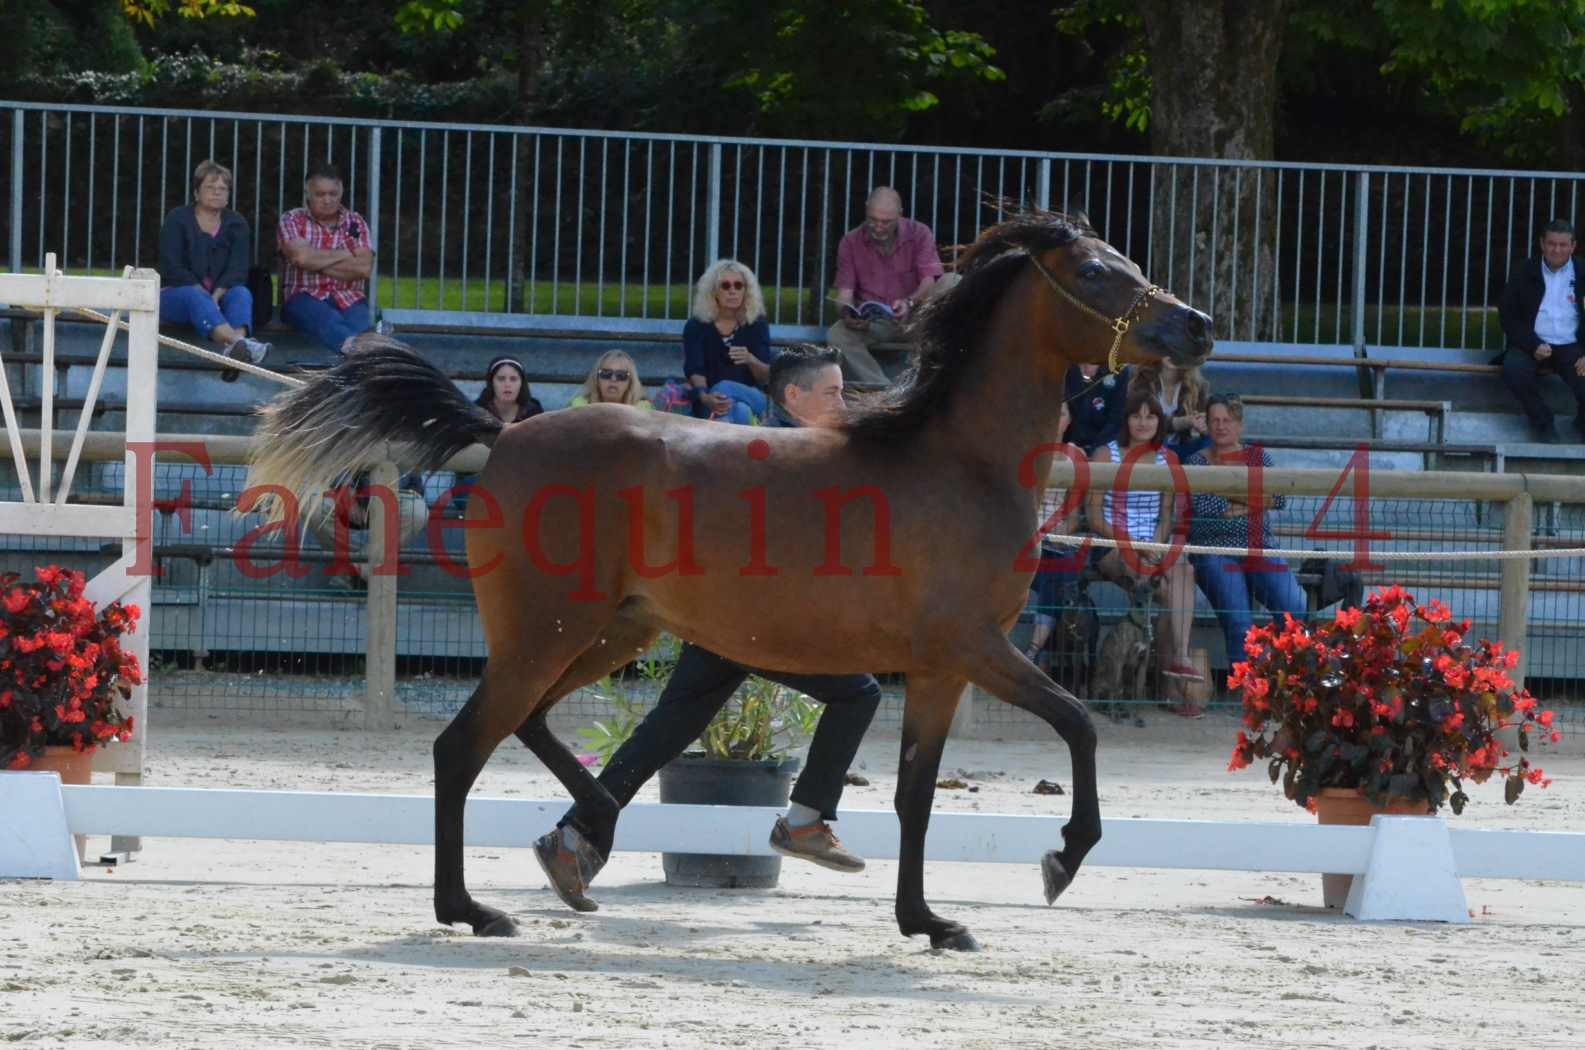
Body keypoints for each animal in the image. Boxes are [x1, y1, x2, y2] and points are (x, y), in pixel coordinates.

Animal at [247, 212, 1210, 951]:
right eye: (1094, 271)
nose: (1195, 326)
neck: (958, 465)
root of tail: (505, 432)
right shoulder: (975, 648)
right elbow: (1079, 723)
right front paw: (1061, 860)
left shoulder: (938, 670)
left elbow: (914, 795)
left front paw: (929, 923)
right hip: (547, 632)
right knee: (463, 746)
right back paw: (475, 908)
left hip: (612, 631)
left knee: (535, 725)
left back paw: (584, 836)